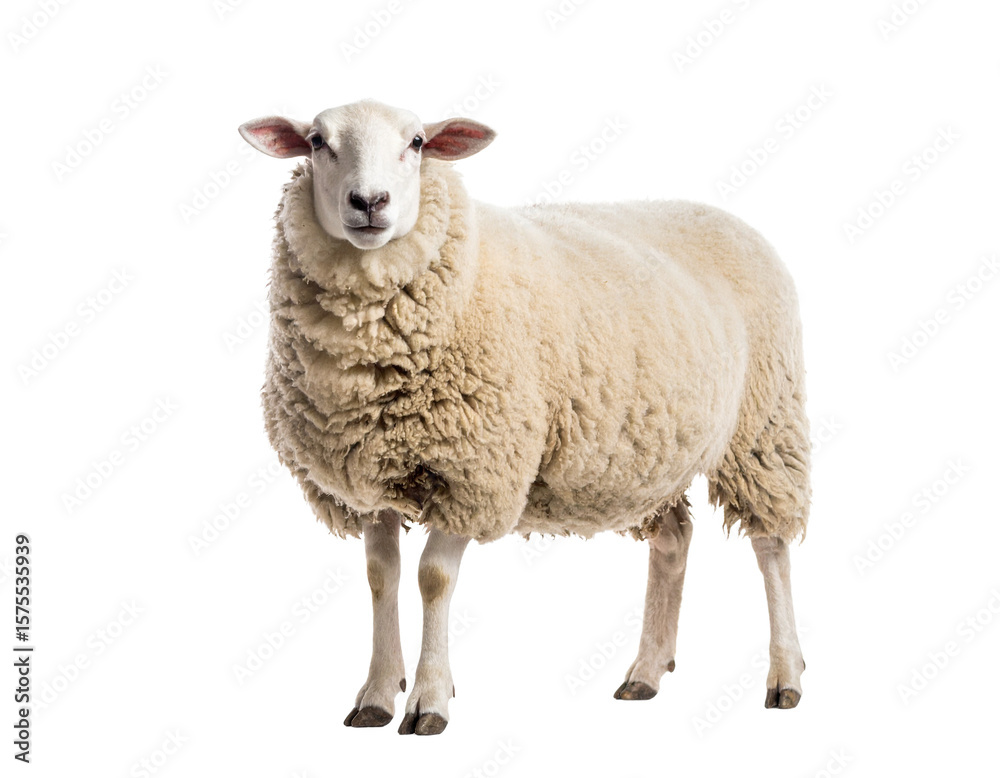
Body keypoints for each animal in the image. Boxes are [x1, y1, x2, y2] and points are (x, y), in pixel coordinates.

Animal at [238, 99, 810, 736]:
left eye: (417, 142)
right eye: (317, 141)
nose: (369, 202)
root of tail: (726, 216)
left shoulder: (476, 472)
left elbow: (433, 578)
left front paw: (429, 701)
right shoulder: (369, 484)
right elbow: (380, 577)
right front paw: (377, 696)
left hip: (764, 428)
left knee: (771, 548)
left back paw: (785, 675)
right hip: (648, 454)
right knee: (673, 540)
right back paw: (646, 672)